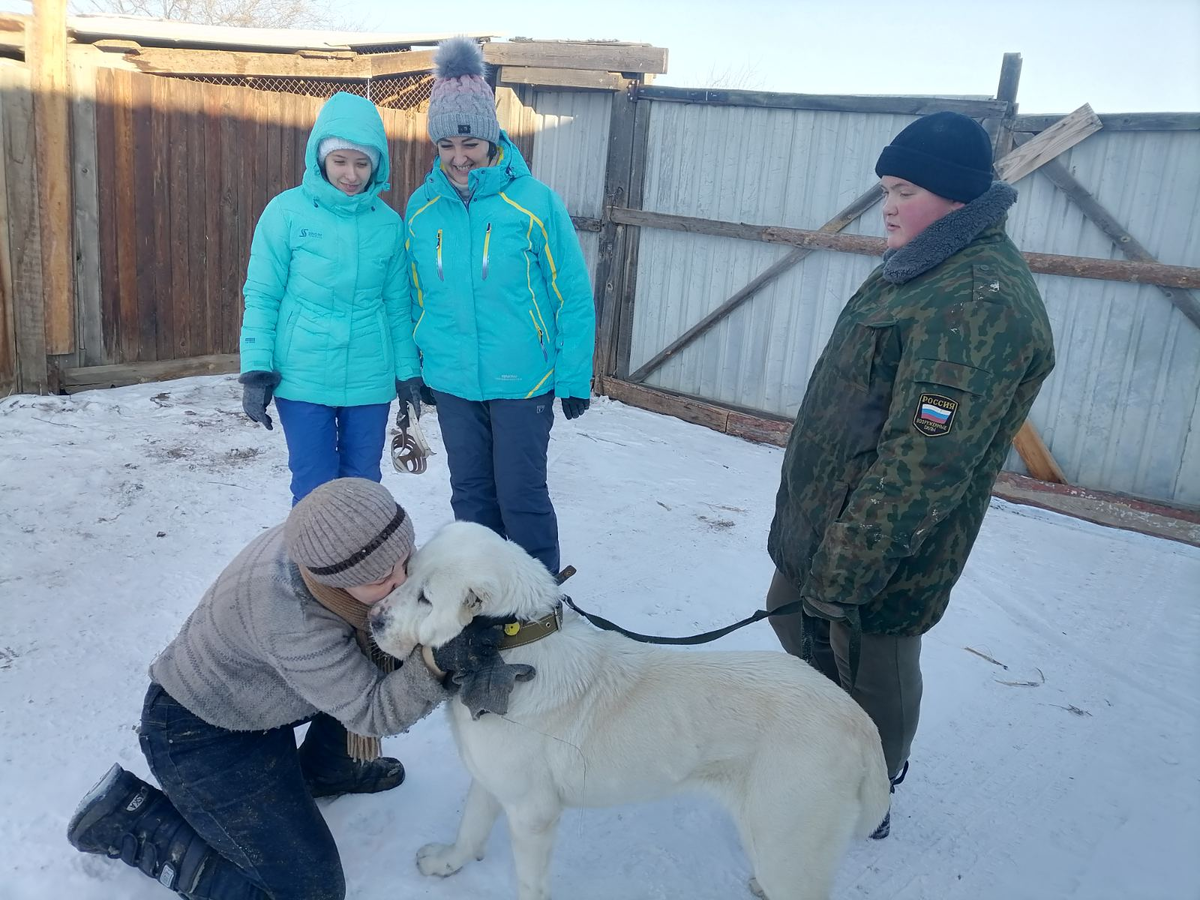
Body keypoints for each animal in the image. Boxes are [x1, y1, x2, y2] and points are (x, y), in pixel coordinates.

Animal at [372, 520, 892, 900]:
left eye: (426, 598)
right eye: (407, 572)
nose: (374, 619)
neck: (506, 646)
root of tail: (860, 721)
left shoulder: (533, 815)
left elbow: (528, 884)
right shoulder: (493, 781)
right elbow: (471, 830)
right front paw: (447, 863)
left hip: (788, 846)